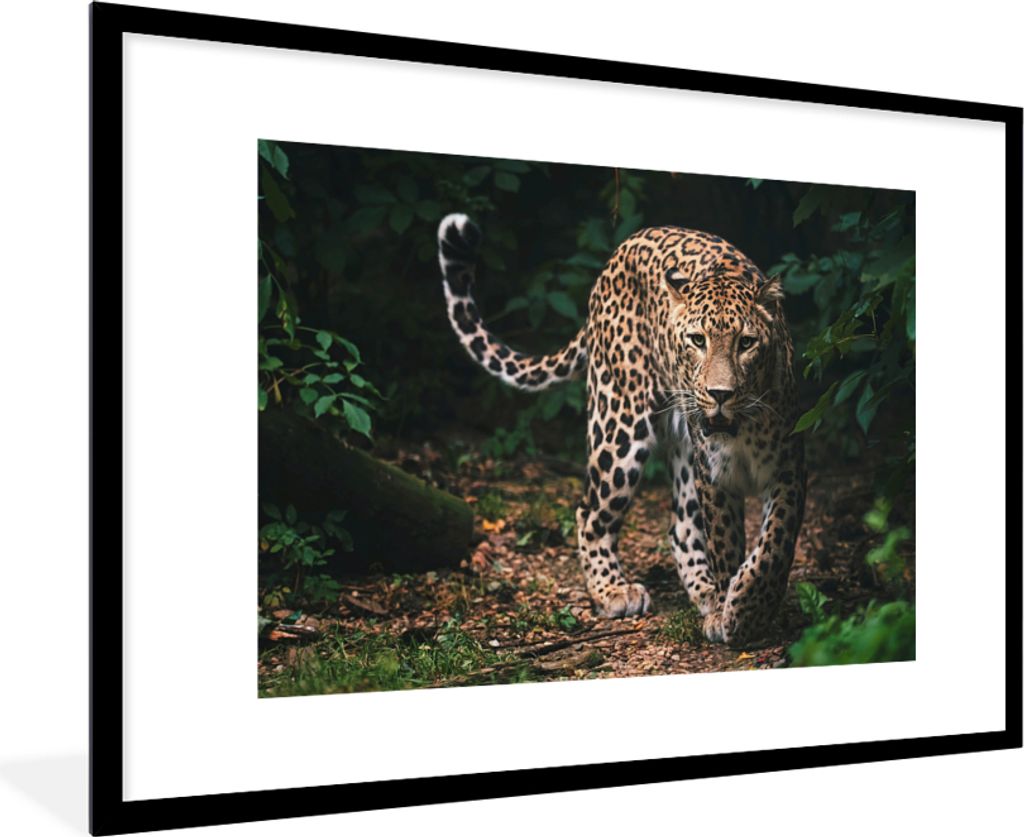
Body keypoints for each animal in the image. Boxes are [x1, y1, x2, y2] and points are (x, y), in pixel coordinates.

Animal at [437, 212, 806, 646]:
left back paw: (704, 593)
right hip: (619, 425)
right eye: (697, 340)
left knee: (681, 526)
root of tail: (621, 250)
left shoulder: (788, 467)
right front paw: (732, 612)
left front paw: (748, 607)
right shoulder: (714, 477)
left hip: (680, 447)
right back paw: (613, 591)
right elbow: (727, 545)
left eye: (746, 343)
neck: (741, 427)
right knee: (589, 513)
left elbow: (775, 546)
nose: (719, 394)